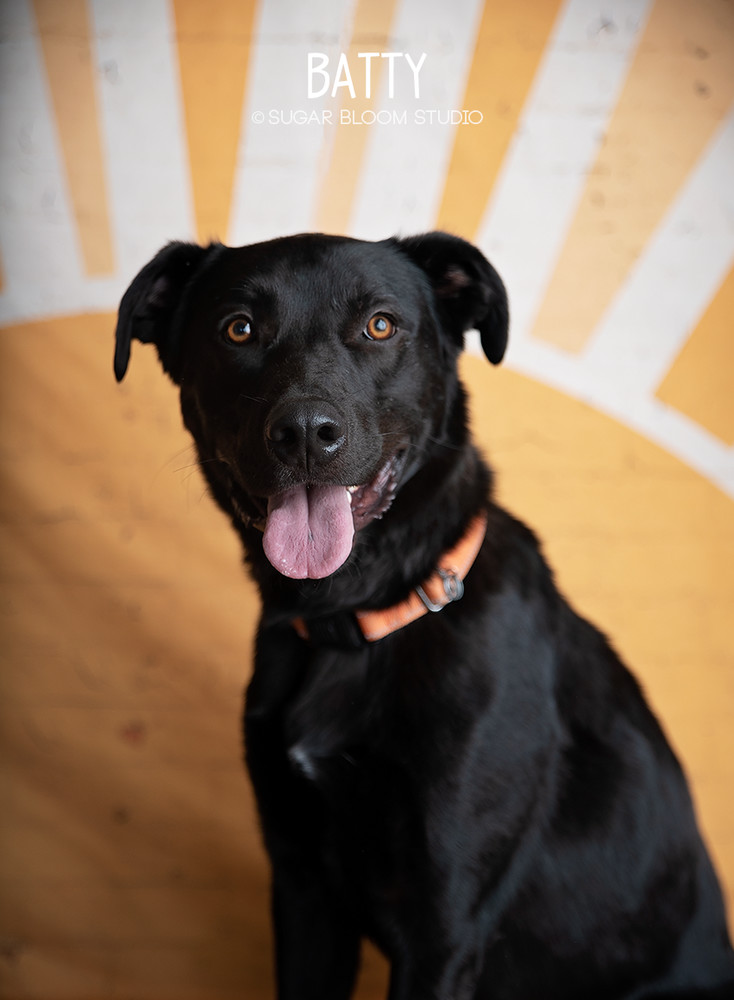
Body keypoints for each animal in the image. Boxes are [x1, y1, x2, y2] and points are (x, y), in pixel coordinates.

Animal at [115, 230, 734, 996]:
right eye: (239, 330)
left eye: (380, 325)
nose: (306, 433)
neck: (350, 622)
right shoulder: (302, 889)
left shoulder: (445, 925)